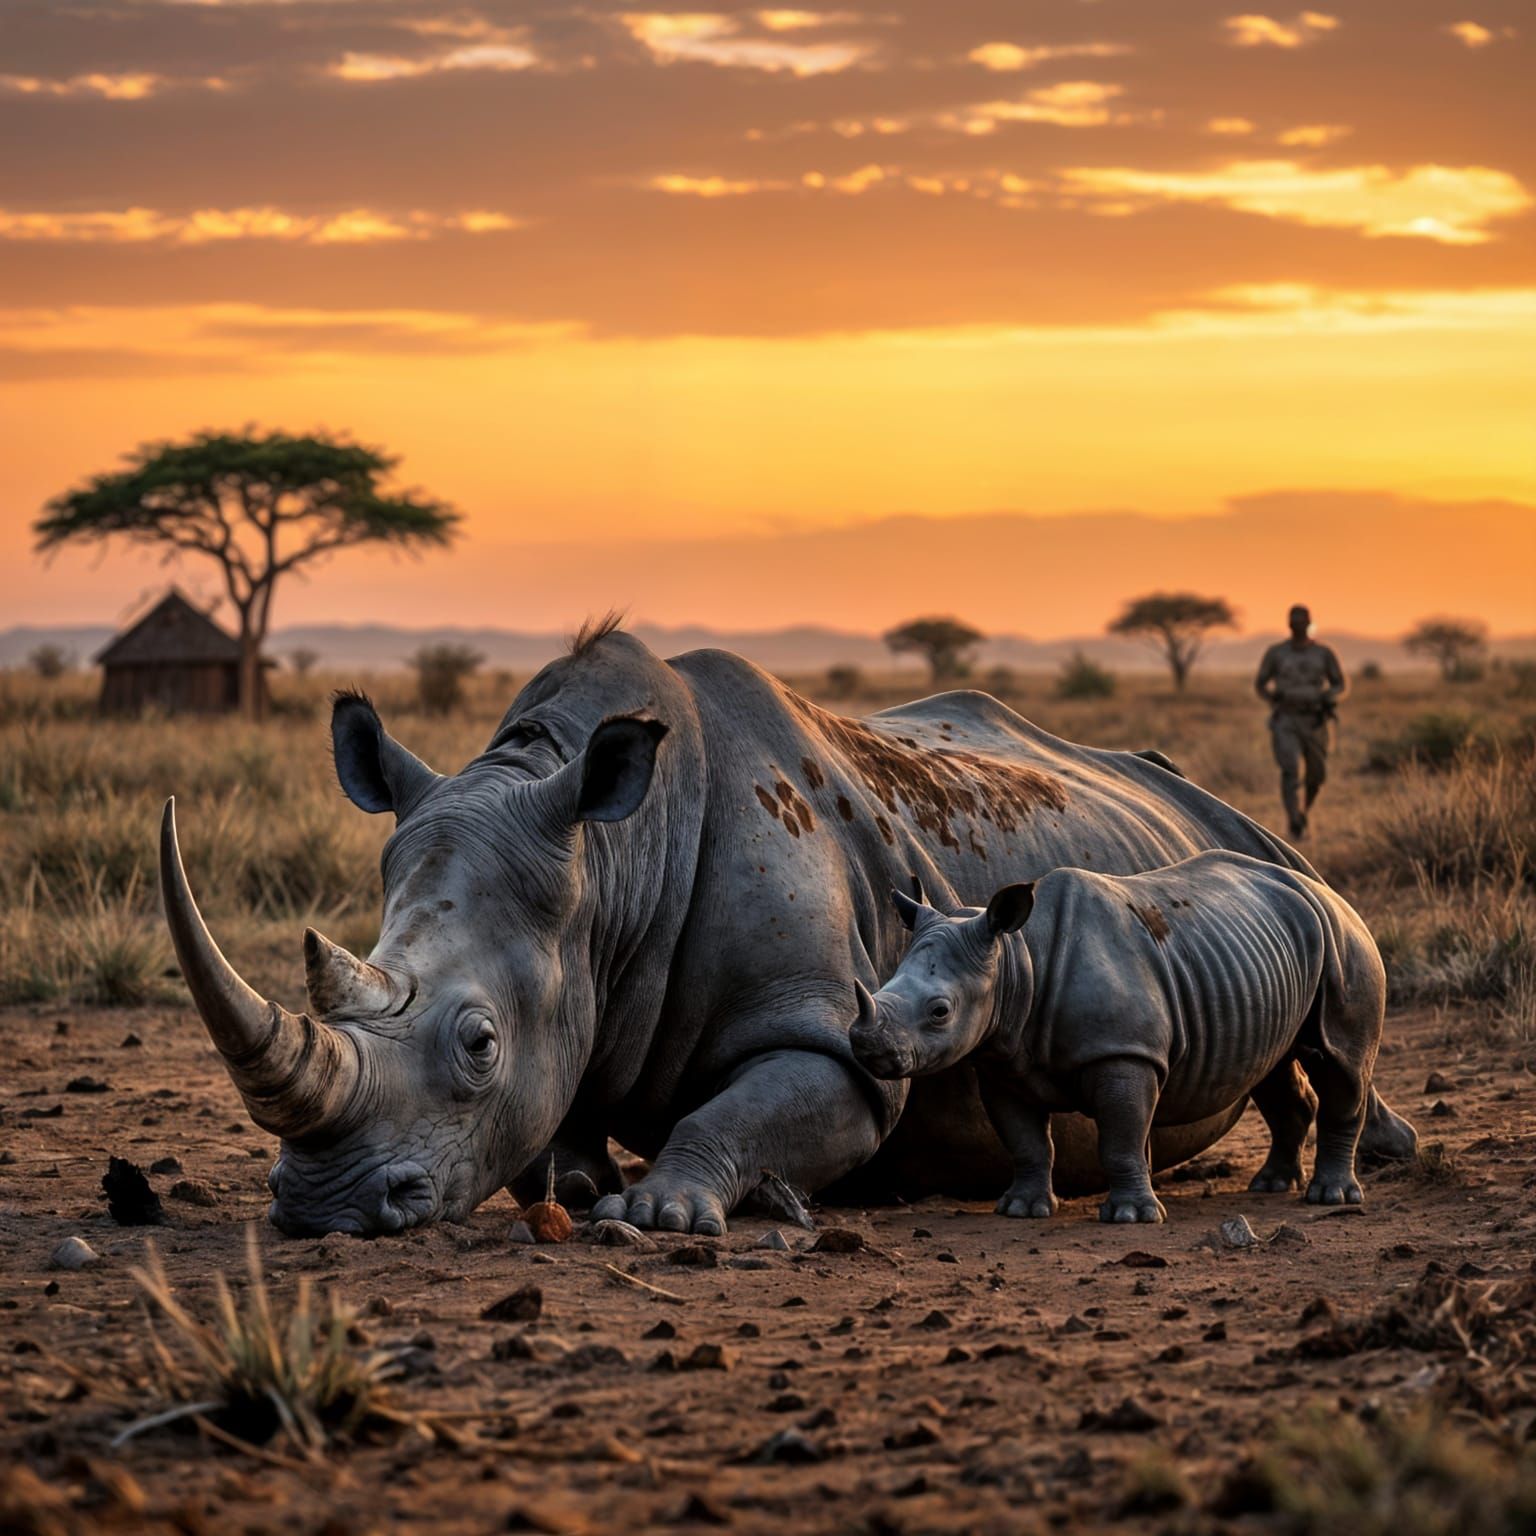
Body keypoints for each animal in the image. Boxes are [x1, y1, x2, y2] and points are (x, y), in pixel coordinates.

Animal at [849, 854, 1386, 1222]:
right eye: (883, 984)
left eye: (940, 1012)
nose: (867, 1048)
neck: (1016, 961)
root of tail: (1324, 887)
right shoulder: (1003, 1063)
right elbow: (1025, 1141)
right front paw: (1021, 1209)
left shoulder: (1123, 1053)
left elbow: (1121, 1135)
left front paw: (1131, 1216)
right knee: (1272, 1065)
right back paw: (1271, 1185)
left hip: (1346, 940)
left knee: (1340, 1063)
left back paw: (1328, 1197)